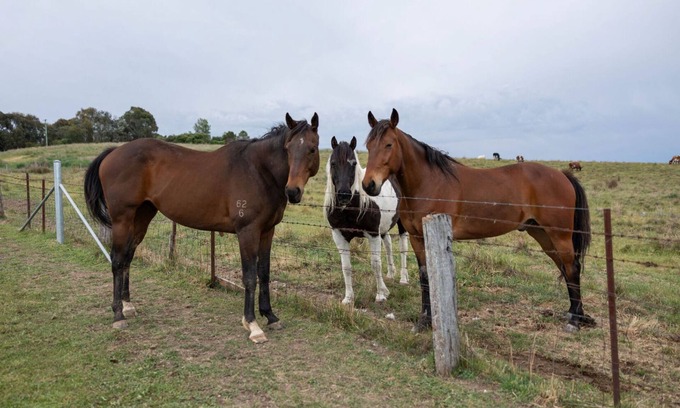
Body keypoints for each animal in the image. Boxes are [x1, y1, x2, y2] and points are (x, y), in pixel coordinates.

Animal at [84, 113, 320, 343]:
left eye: (312, 148)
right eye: (288, 149)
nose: (293, 191)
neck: (258, 171)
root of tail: (114, 151)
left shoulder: (267, 231)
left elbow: (264, 274)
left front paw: (271, 316)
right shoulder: (247, 232)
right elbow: (249, 277)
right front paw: (252, 325)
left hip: (142, 216)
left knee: (127, 258)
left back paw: (128, 306)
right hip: (122, 219)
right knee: (117, 260)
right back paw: (118, 315)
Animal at [324, 136, 409, 306]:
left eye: (354, 163)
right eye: (333, 163)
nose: (343, 194)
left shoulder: (373, 234)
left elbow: (375, 264)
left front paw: (381, 294)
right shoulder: (339, 235)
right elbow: (346, 267)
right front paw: (348, 298)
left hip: (401, 223)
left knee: (403, 247)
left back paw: (403, 278)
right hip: (384, 227)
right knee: (388, 243)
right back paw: (391, 273)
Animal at [361, 109, 594, 332]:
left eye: (389, 144)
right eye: (369, 146)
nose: (369, 185)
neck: (429, 182)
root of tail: (563, 175)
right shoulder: (417, 238)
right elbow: (425, 277)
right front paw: (424, 321)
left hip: (559, 234)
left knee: (572, 268)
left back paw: (575, 321)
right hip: (542, 234)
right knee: (564, 268)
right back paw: (576, 314)